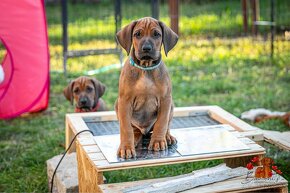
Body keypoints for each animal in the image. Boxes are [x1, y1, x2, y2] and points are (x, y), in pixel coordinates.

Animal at [114, 17, 178, 158]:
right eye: (137, 34)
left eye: (157, 34)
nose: (147, 48)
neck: (146, 67)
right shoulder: (124, 101)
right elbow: (125, 127)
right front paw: (126, 147)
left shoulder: (165, 100)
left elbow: (162, 122)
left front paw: (158, 141)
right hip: (117, 105)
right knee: (134, 130)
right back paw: (135, 137)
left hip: (171, 105)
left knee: (166, 125)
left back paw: (167, 137)